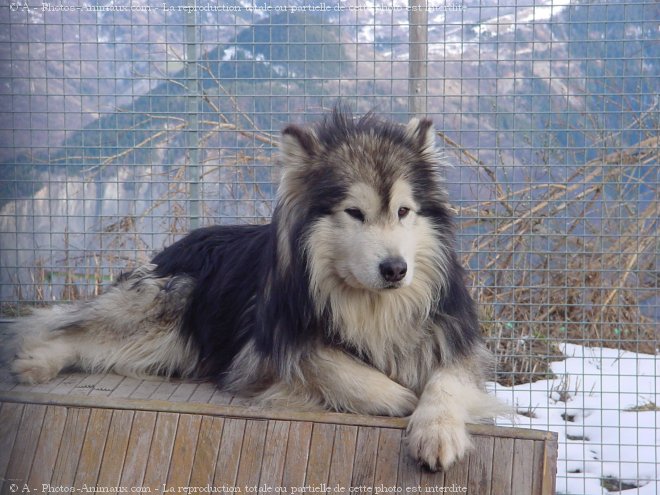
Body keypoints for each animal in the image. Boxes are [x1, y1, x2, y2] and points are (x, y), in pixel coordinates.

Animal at [7, 108, 506, 472]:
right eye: (354, 213)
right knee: (74, 330)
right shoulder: (265, 348)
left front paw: (435, 430)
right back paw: (36, 361)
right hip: (168, 305)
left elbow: (445, 382)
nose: (395, 269)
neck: (370, 306)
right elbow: (333, 364)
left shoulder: (455, 344)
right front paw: (398, 396)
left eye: (404, 211)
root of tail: (179, 244)